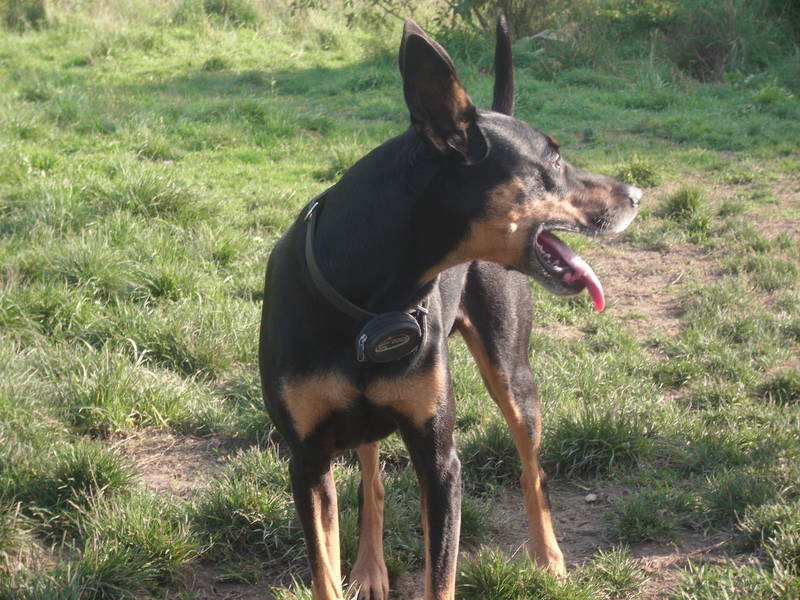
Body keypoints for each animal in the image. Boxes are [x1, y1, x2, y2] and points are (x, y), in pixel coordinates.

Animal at [259, 16, 641, 600]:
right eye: (553, 159)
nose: (636, 194)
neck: (370, 303)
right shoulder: (307, 462)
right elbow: (324, 566)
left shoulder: (440, 460)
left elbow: (441, 574)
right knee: (371, 477)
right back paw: (369, 568)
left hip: (512, 372)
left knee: (533, 469)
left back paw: (548, 559)